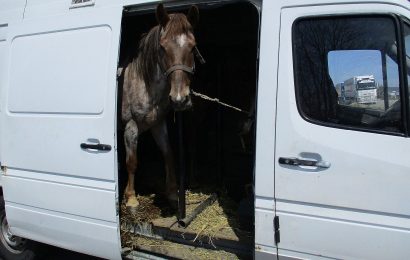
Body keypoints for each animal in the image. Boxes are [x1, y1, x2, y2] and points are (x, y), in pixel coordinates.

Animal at [121, 4, 199, 211]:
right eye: (163, 47)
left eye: (193, 46)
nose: (179, 99)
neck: (142, 82)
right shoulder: (130, 127)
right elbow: (132, 161)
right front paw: (131, 199)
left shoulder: (158, 124)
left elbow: (168, 154)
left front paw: (172, 194)